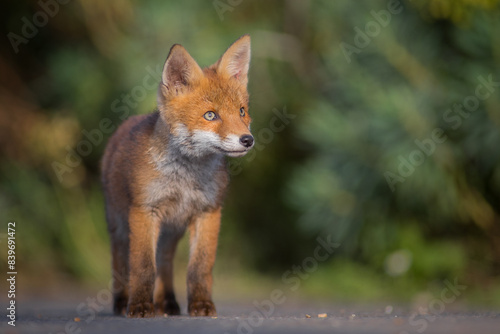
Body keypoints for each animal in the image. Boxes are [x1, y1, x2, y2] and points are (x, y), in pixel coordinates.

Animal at [100, 36, 254, 318]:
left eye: (241, 111)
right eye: (210, 115)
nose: (247, 140)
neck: (185, 179)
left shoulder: (208, 212)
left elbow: (199, 268)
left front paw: (201, 304)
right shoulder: (144, 211)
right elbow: (142, 267)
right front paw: (139, 305)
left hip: (171, 231)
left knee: (164, 262)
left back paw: (167, 302)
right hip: (120, 225)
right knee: (121, 261)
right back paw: (122, 301)